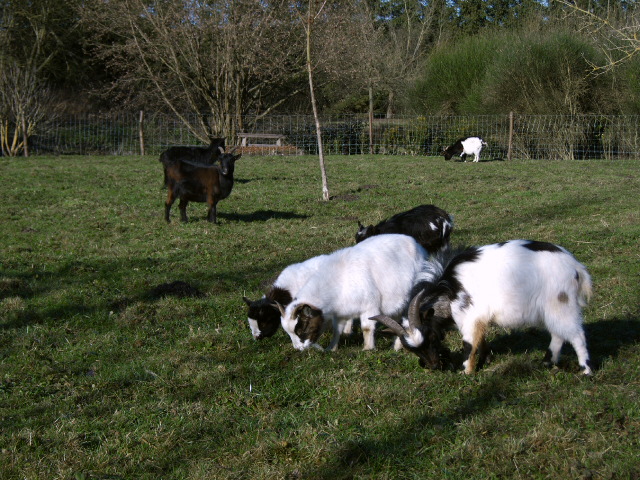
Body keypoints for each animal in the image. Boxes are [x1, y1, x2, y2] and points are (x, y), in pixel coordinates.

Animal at [276, 235, 430, 352]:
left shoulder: (369, 307)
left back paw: (396, 347)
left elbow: (367, 328)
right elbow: (337, 330)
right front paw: (331, 349)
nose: (299, 349)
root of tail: (418, 246)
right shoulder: (341, 312)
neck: (340, 279)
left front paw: (367, 349)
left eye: (302, 329)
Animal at [372, 240, 592, 376]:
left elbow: (469, 344)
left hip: (561, 304)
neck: (450, 288)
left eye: (432, 337)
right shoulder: (479, 318)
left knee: (576, 335)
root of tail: (575, 268)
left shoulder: (469, 316)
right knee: (558, 334)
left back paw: (585, 370)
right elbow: (482, 338)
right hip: (553, 309)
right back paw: (547, 362)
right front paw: (485, 360)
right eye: (411, 349)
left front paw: (466, 372)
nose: (434, 366)